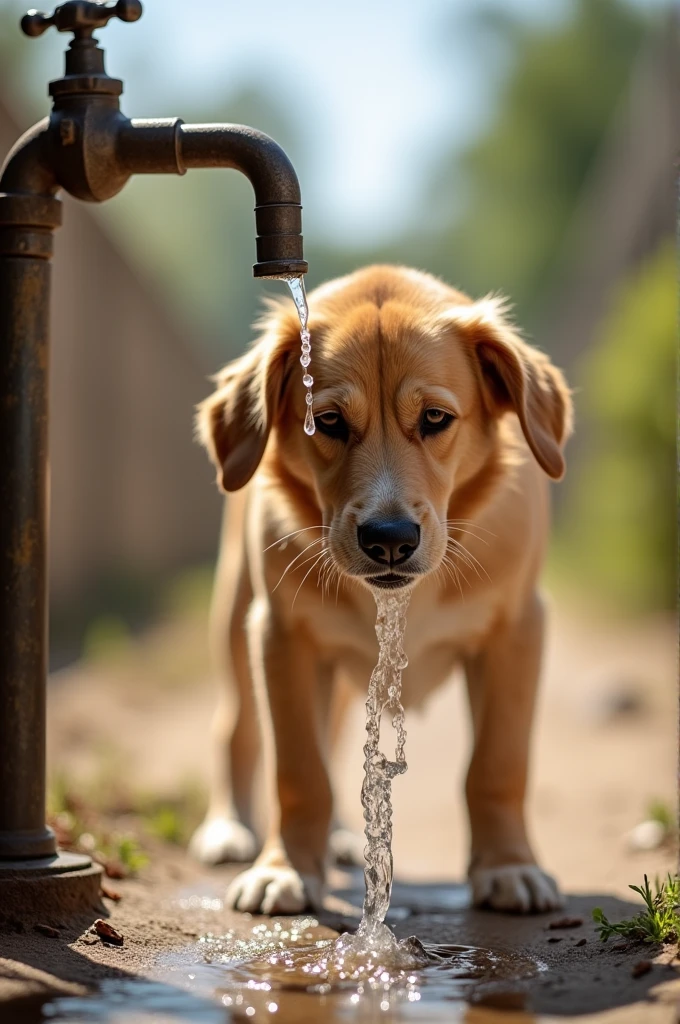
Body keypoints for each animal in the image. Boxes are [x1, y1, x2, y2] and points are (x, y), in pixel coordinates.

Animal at [188, 264, 569, 913]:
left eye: (436, 418)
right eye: (329, 422)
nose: (389, 539)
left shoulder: (517, 630)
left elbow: (498, 765)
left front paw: (509, 866)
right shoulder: (282, 635)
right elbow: (299, 770)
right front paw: (287, 869)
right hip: (237, 621)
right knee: (235, 729)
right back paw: (230, 827)